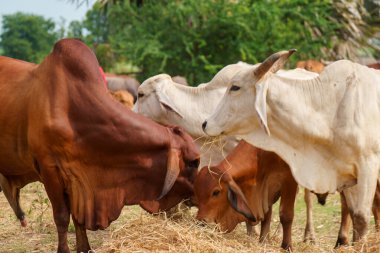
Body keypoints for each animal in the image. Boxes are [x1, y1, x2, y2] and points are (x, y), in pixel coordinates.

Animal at [0, 37, 200, 253]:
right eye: (193, 162)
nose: (197, 196)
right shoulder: (49, 170)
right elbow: (62, 217)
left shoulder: (77, 179)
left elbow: (78, 218)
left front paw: (84, 248)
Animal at [203, 49, 380, 243]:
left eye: (235, 87)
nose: (205, 123)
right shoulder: (345, 173)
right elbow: (353, 214)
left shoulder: (367, 166)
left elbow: (361, 218)